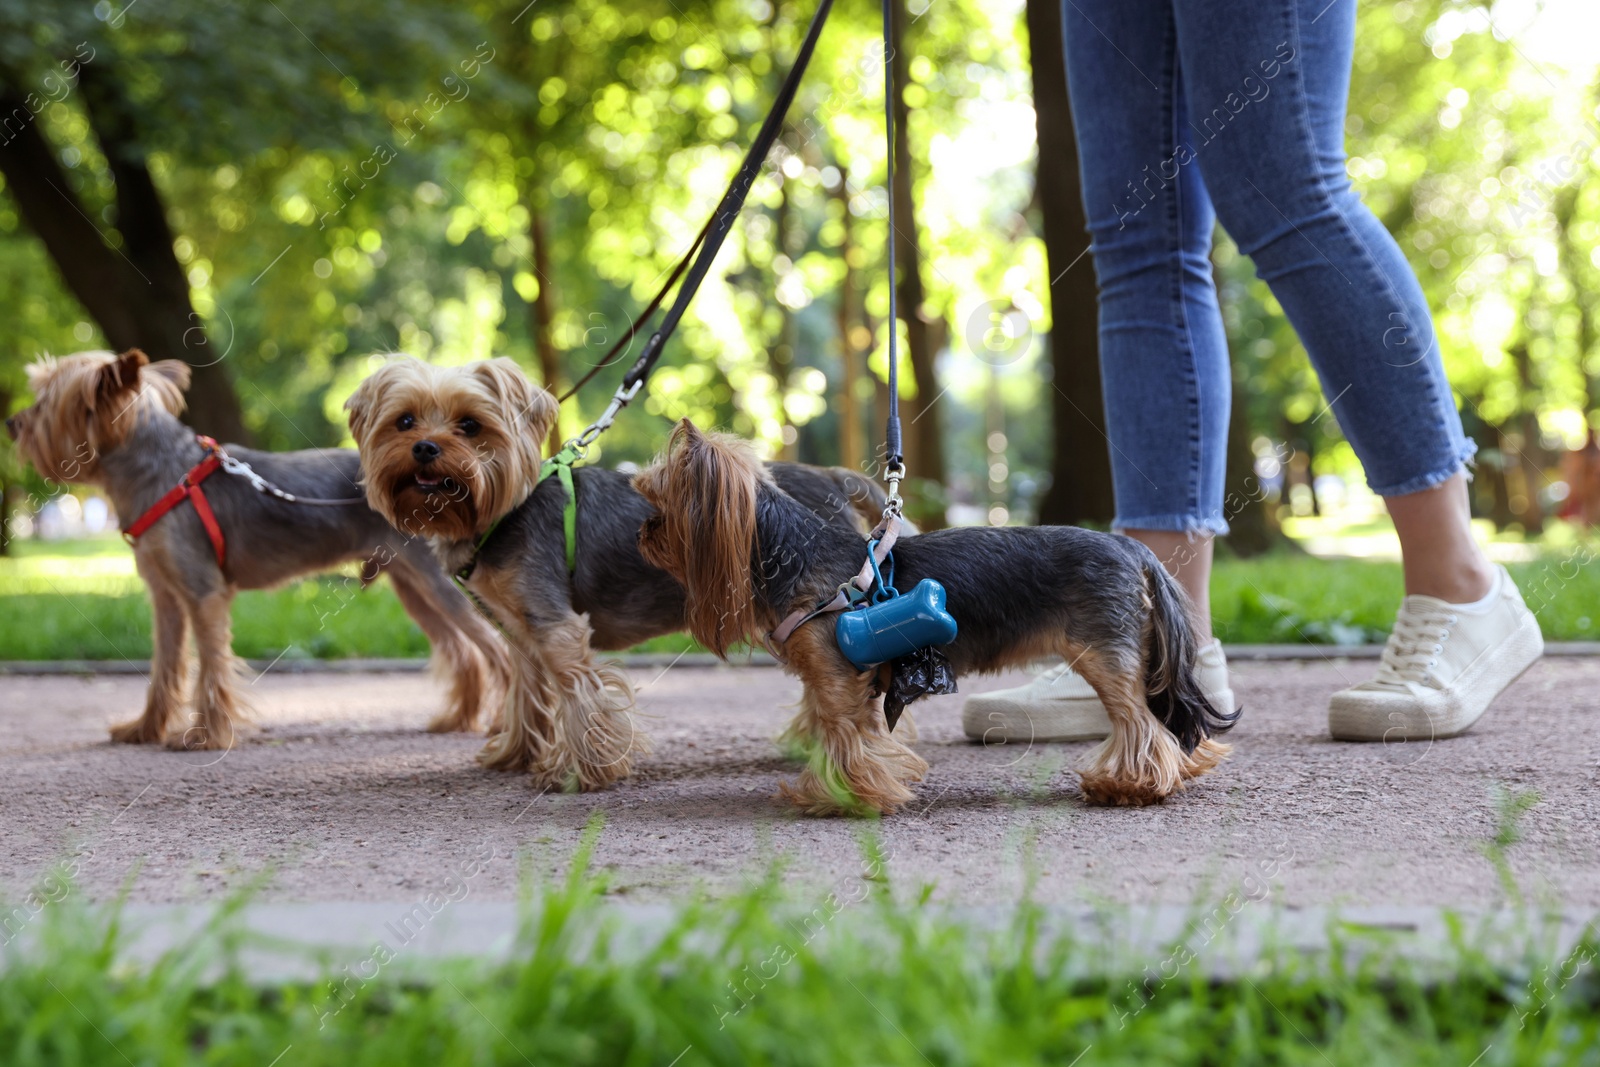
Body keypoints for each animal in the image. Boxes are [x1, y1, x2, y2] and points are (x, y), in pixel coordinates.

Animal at [4, 350, 505, 751]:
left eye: (45, 401)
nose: (12, 422)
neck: (158, 472)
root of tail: (439, 484)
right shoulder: (166, 598)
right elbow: (165, 667)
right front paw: (144, 729)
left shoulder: (203, 593)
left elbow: (211, 666)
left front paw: (206, 736)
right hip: (412, 586)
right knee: (463, 653)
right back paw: (458, 719)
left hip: (438, 582)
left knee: (495, 647)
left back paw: (501, 724)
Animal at [345, 358, 889, 793]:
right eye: (404, 421)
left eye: (470, 425)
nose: (425, 448)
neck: (500, 512)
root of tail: (834, 477)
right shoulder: (519, 630)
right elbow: (527, 692)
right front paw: (514, 754)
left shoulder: (554, 624)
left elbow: (579, 695)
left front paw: (580, 772)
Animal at [630, 422, 1241, 812]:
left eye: (659, 505)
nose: (642, 532)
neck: (792, 551)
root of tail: (1133, 549)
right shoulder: (852, 682)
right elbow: (863, 734)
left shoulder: (833, 676)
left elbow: (843, 738)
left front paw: (841, 797)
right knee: (1164, 719)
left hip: (1103, 653)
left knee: (1139, 722)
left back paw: (1132, 786)